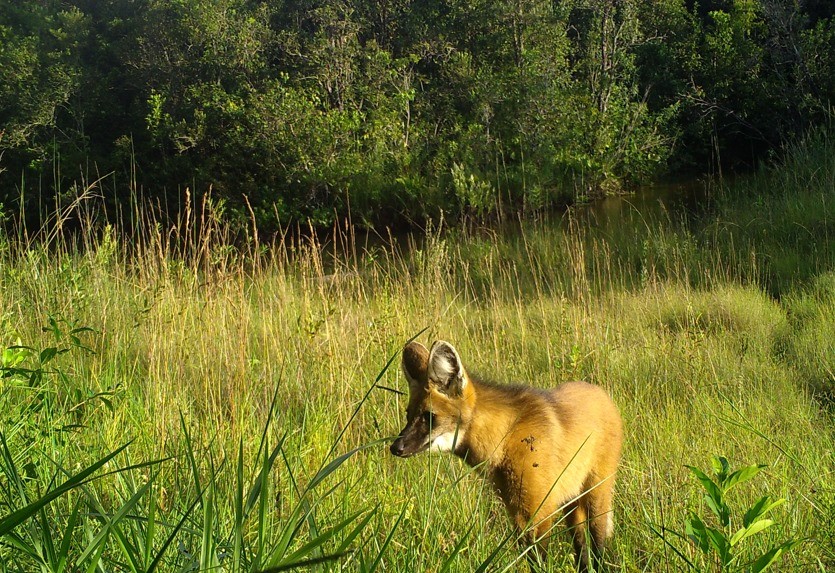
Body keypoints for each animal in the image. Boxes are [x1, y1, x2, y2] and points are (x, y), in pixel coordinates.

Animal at [390, 340, 620, 568]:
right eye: (408, 415)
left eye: (429, 417)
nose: (395, 447)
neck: (505, 438)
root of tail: (601, 392)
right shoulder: (517, 511)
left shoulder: (538, 513)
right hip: (571, 501)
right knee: (581, 547)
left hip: (595, 496)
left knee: (597, 545)